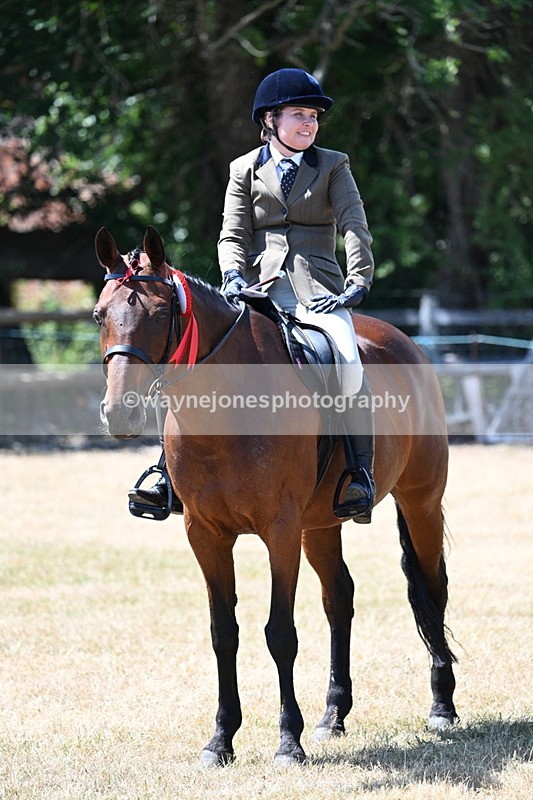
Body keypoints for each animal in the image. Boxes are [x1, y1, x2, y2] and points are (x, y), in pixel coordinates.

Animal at [94, 225, 457, 766]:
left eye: (160, 314)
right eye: (100, 315)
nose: (120, 411)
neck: (226, 409)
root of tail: (405, 343)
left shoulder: (279, 531)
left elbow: (279, 633)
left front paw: (288, 741)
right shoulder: (204, 533)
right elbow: (223, 633)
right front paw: (221, 739)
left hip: (420, 502)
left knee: (431, 590)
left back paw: (442, 706)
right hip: (321, 524)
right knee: (339, 599)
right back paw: (333, 715)